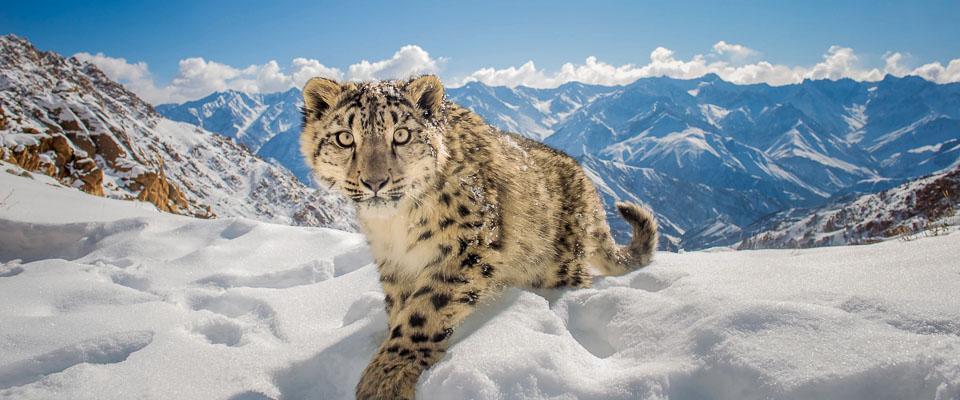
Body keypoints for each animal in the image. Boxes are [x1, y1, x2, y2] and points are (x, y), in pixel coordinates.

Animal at [299, 75, 658, 399]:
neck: (395, 227)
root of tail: (588, 185)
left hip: (554, 264)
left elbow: (425, 311)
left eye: (401, 134)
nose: (375, 182)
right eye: (345, 138)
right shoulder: (393, 264)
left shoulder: (465, 246)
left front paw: (386, 378)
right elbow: (400, 307)